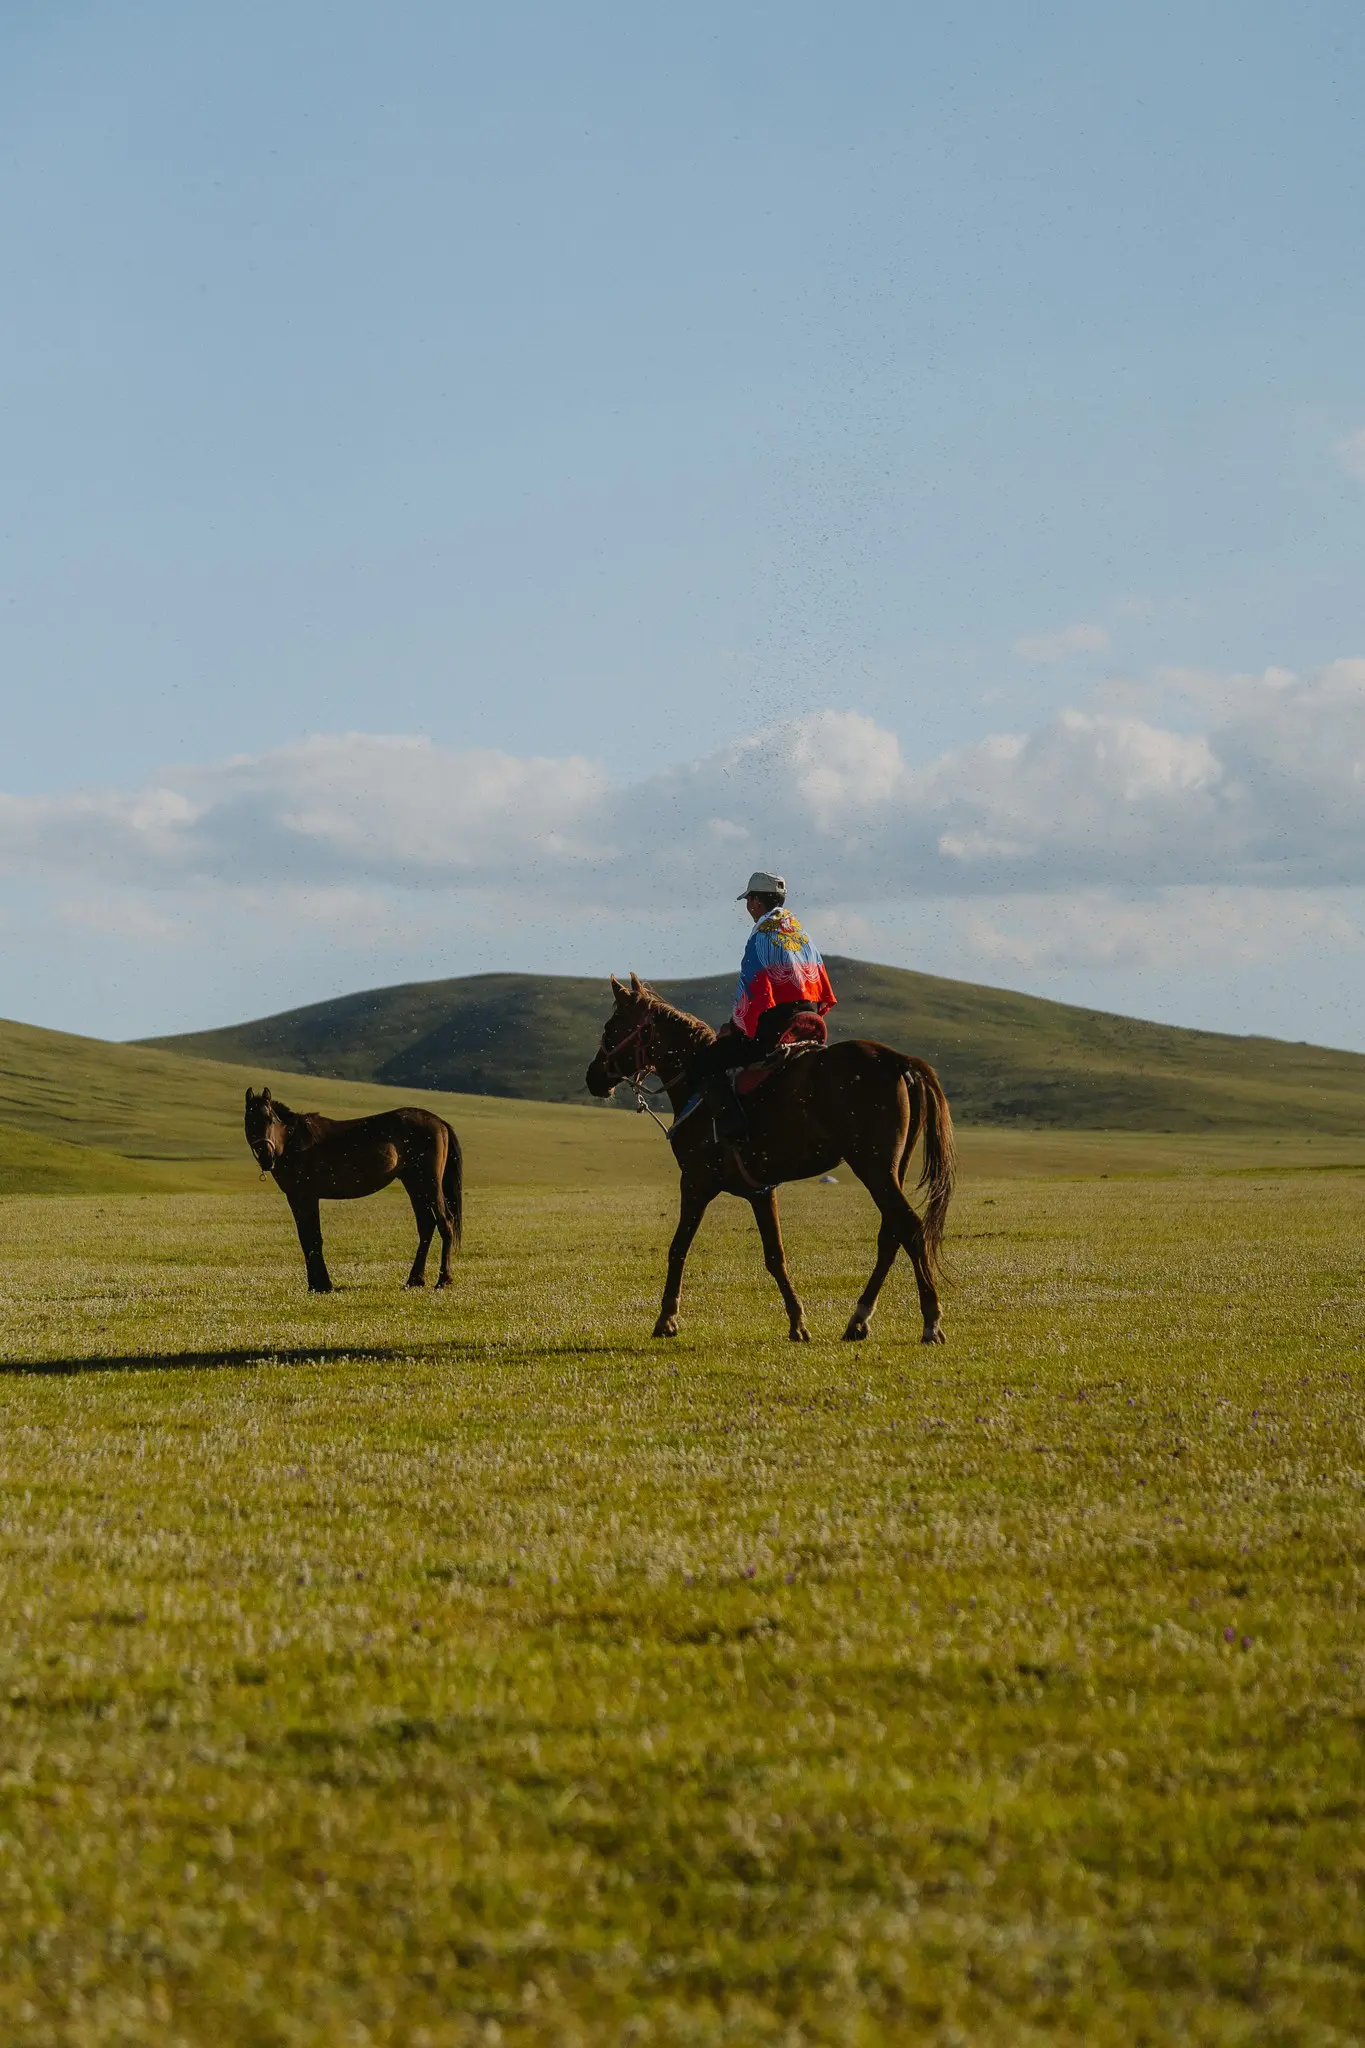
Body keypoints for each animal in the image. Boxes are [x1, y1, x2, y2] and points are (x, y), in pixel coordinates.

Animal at [243, 1087, 463, 1294]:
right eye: (249, 1121)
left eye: (271, 1120)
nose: (266, 1157)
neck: (290, 1142)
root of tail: (438, 1121)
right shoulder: (297, 1197)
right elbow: (307, 1238)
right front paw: (316, 1284)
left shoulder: (305, 1196)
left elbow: (311, 1238)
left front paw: (321, 1285)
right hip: (415, 1184)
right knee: (426, 1225)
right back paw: (414, 1280)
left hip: (429, 1183)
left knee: (445, 1222)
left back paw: (443, 1280)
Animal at [585, 974, 955, 1344]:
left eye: (610, 1026)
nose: (593, 1077)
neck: (695, 1082)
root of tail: (898, 1060)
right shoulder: (761, 1191)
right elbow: (775, 1255)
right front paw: (797, 1322)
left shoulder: (695, 1181)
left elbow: (678, 1248)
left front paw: (666, 1319)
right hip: (894, 1169)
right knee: (891, 1236)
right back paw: (859, 1319)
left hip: (873, 1168)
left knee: (910, 1229)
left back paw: (931, 1321)